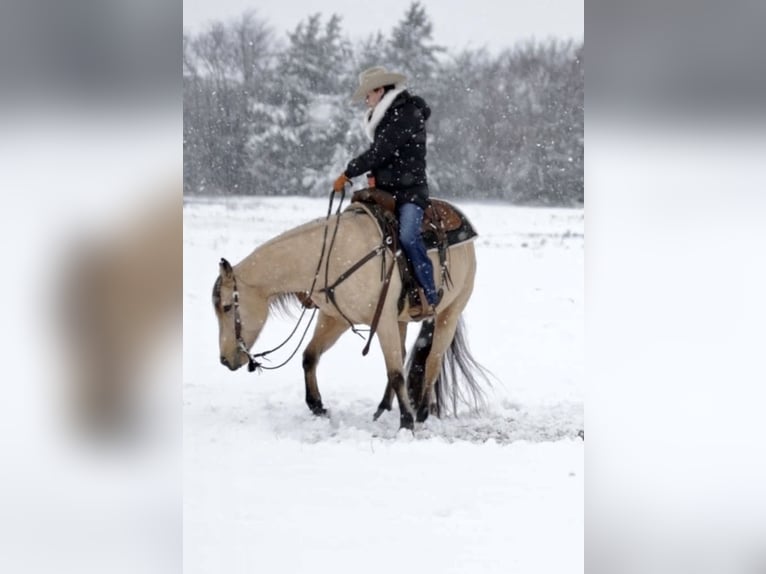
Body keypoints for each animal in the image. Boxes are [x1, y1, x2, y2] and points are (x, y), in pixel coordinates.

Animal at [213, 194, 488, 432]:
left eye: (226, 307)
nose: (225, 360)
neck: (331, 256)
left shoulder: (382, 321)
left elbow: (396, 373)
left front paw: (407, 422)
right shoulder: (335, 319)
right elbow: (310, 356)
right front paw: (317, 406)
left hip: (449, 312)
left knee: (432, 359)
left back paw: (421, 413)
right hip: (401, 319)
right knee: (404, 354)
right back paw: (383, 408)